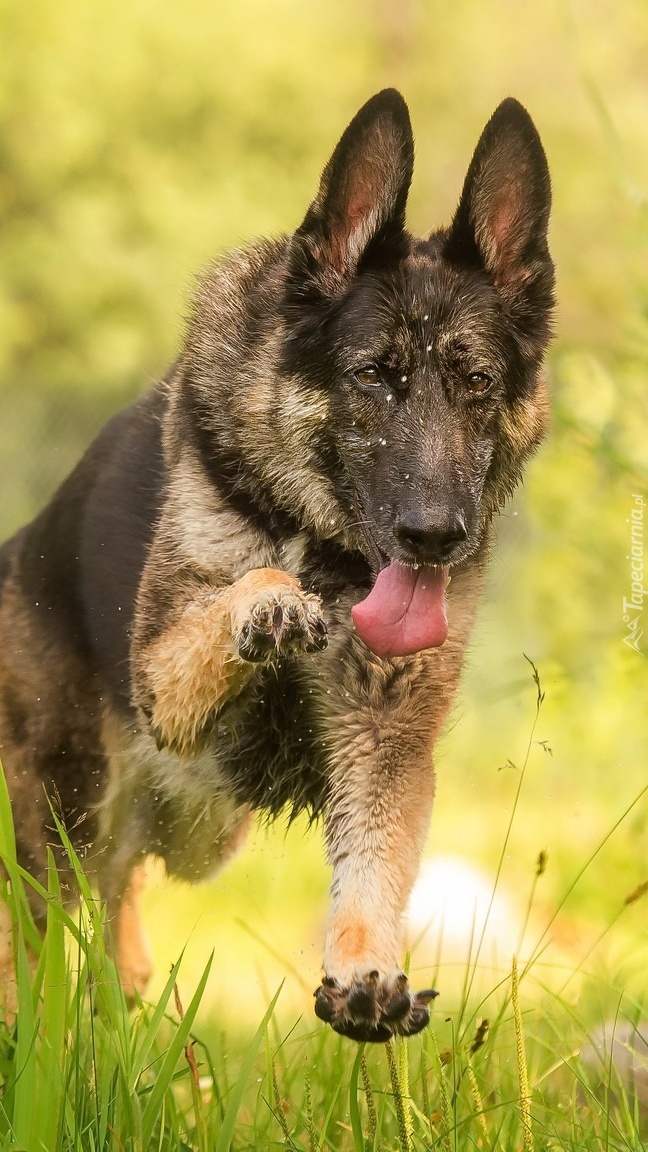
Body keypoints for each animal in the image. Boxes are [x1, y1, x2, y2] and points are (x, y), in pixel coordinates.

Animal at [0, 92, 548, 1046]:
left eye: (477, 381)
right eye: (374, 376)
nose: (433, 536)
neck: (324, 550)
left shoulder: (385, 740)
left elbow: (374, 867)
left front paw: (366, 971)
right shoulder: (162, 684)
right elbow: (242, 595)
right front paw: (267, 608)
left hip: (190, 835)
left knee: (117, 910)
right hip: (64, 816)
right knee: (34, 936)